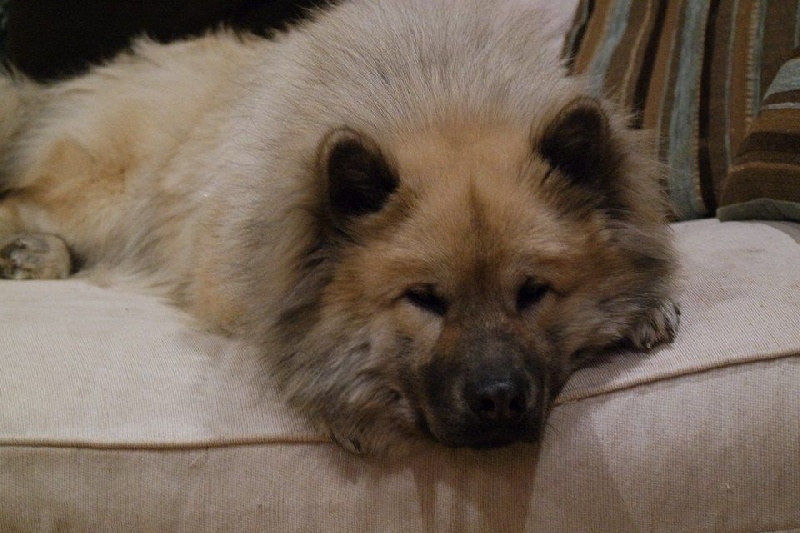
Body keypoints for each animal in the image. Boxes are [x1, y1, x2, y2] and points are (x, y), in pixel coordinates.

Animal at [0, 0, 679, 455]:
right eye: (425, 299)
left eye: (534, 292)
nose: (500, 400)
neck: (440, 96)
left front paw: (648, 306)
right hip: (104, 194)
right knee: (18, 198)